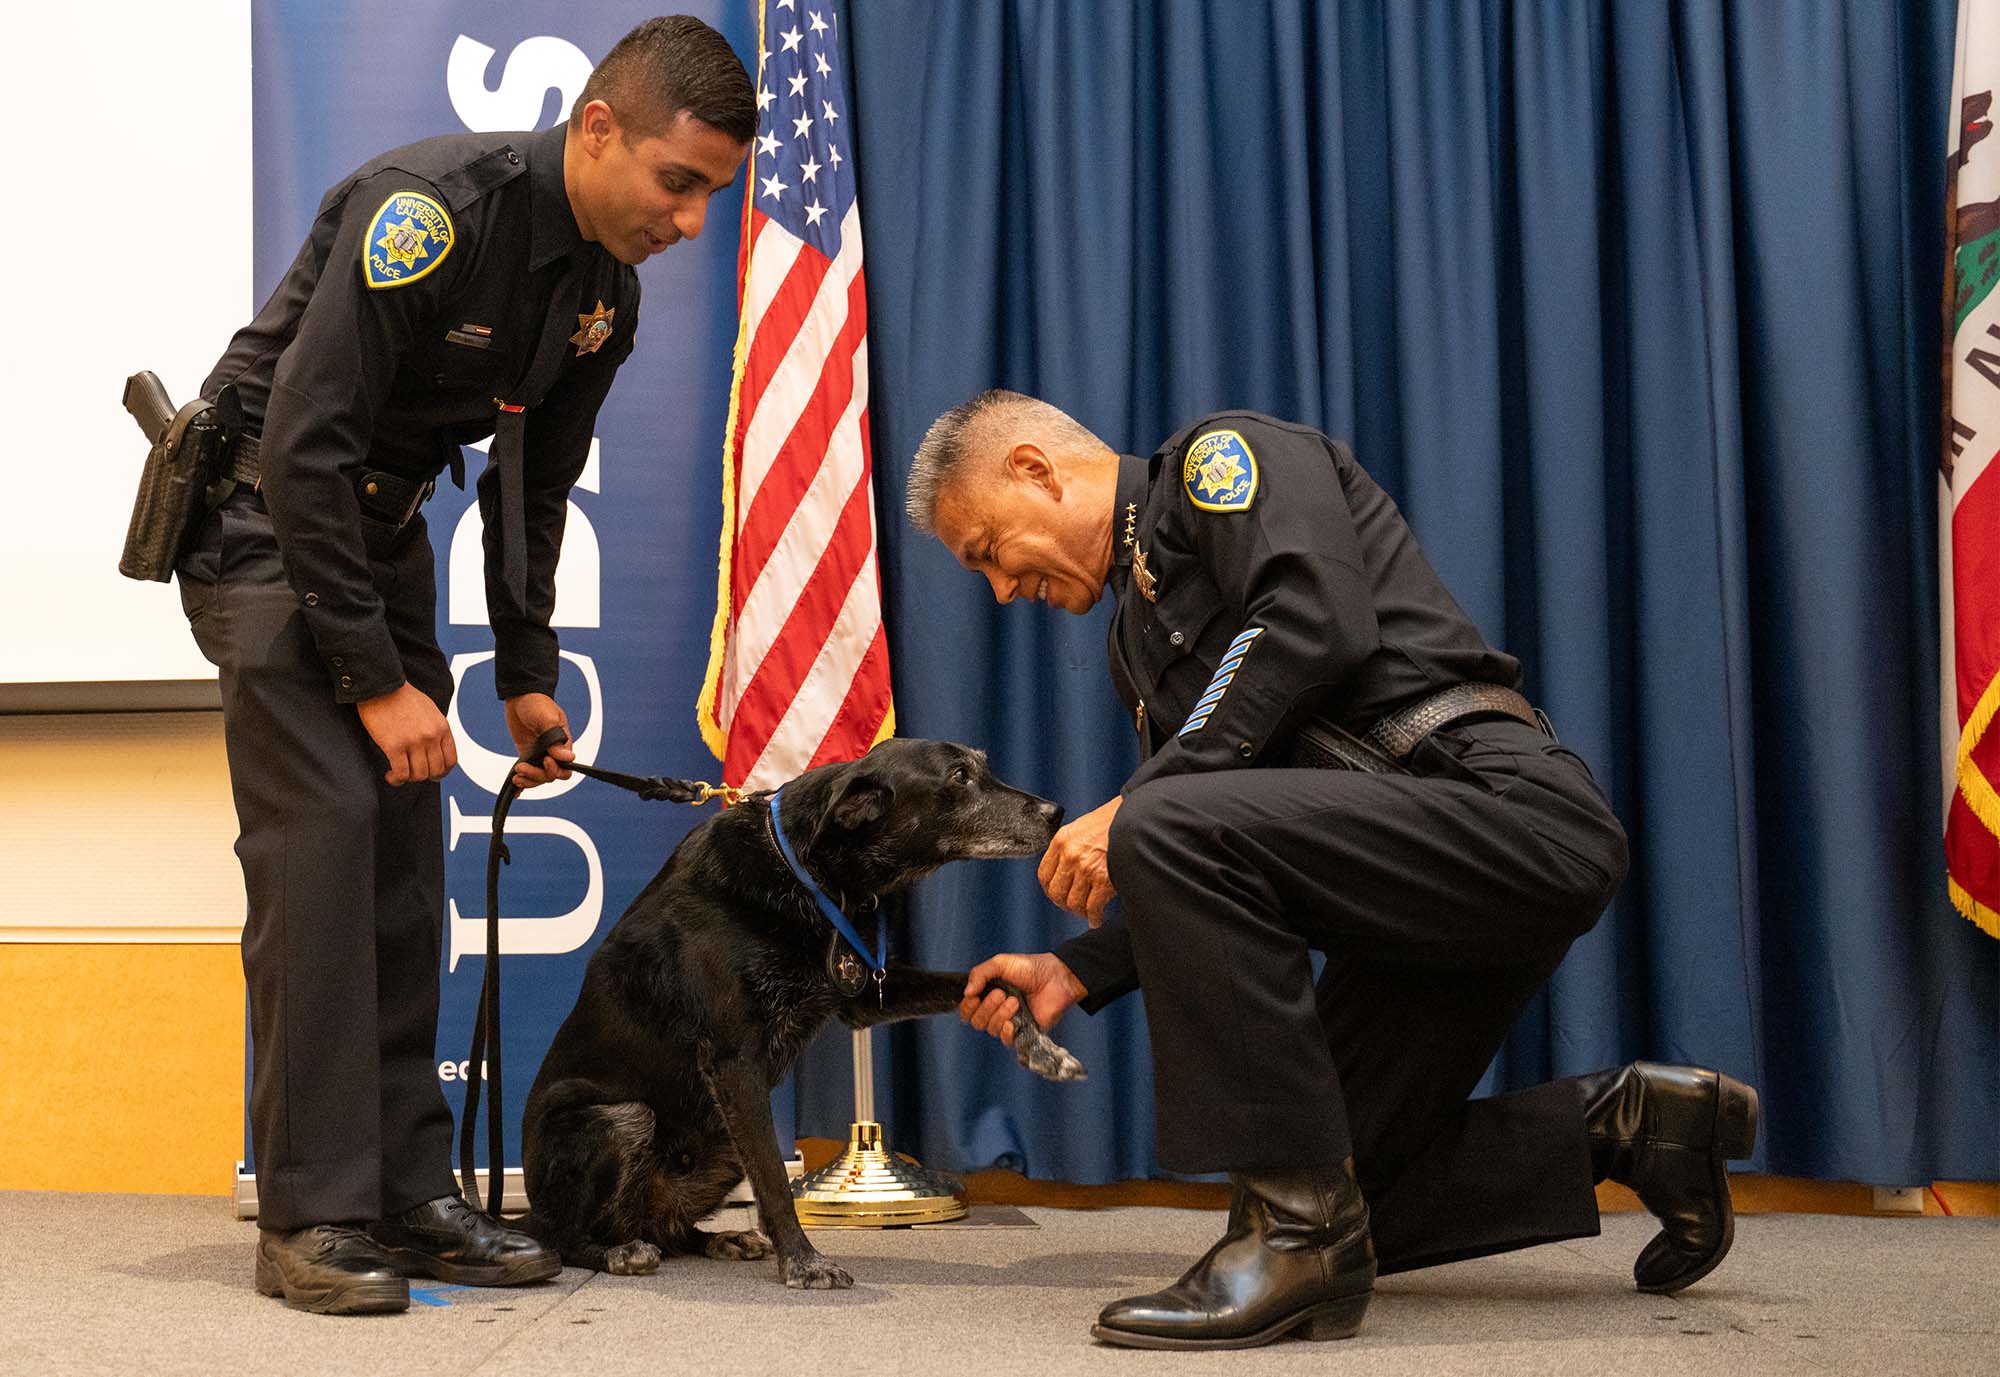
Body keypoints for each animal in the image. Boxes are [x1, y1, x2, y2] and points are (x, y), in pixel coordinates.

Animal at [516, 736, 1080, 1288]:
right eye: (959, 778)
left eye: (983, 766)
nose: (1056, 811)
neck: (810, 874)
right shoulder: (733, 1063)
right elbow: (773, 1178)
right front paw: (805, 1262)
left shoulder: (864, 995)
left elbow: (996, 979)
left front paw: (1041, 1047)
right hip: (625, 1119)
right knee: (566, 1235)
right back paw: (615, 1253)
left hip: (718, 1139)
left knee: (665, 1227)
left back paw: (718, 1238)